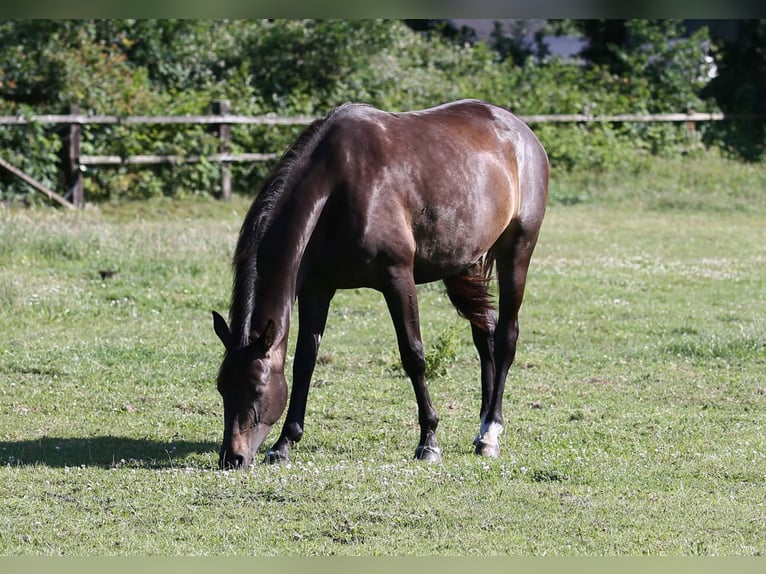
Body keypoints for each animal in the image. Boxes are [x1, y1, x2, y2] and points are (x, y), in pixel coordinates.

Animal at [213, 99, 548, 470]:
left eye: (258, 390)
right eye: (222, 387)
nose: (232, 457)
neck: (337, 186)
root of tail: (522, 132)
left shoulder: (397, 278)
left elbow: (413, 355)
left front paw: (428, 440)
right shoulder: (316, 288)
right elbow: (304, 362)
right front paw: (284, 443)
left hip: (517, 251)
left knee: (504, 338)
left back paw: (491, 432)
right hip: (465, 261)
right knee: (484, 333)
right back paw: (481, 428)